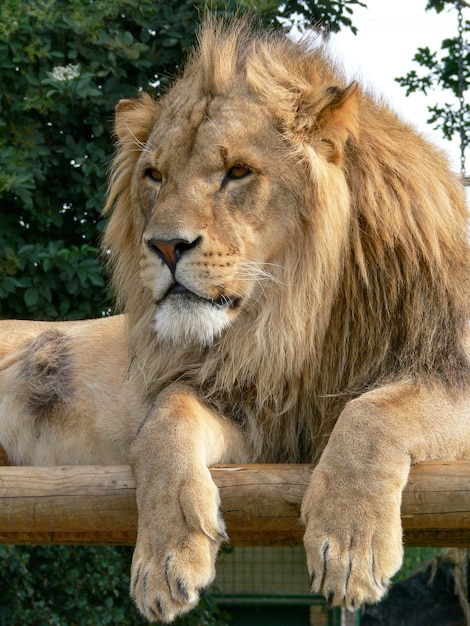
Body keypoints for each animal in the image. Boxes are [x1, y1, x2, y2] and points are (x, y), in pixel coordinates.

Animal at [0, 17, 470, 620]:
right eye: (154, 175)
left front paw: (349, 544)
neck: (298, 316)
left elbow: (373, 412)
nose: (165, 246)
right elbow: (165, 419)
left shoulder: (443, 368)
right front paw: (166, 557)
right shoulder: (252, 414)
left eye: (238, 172)